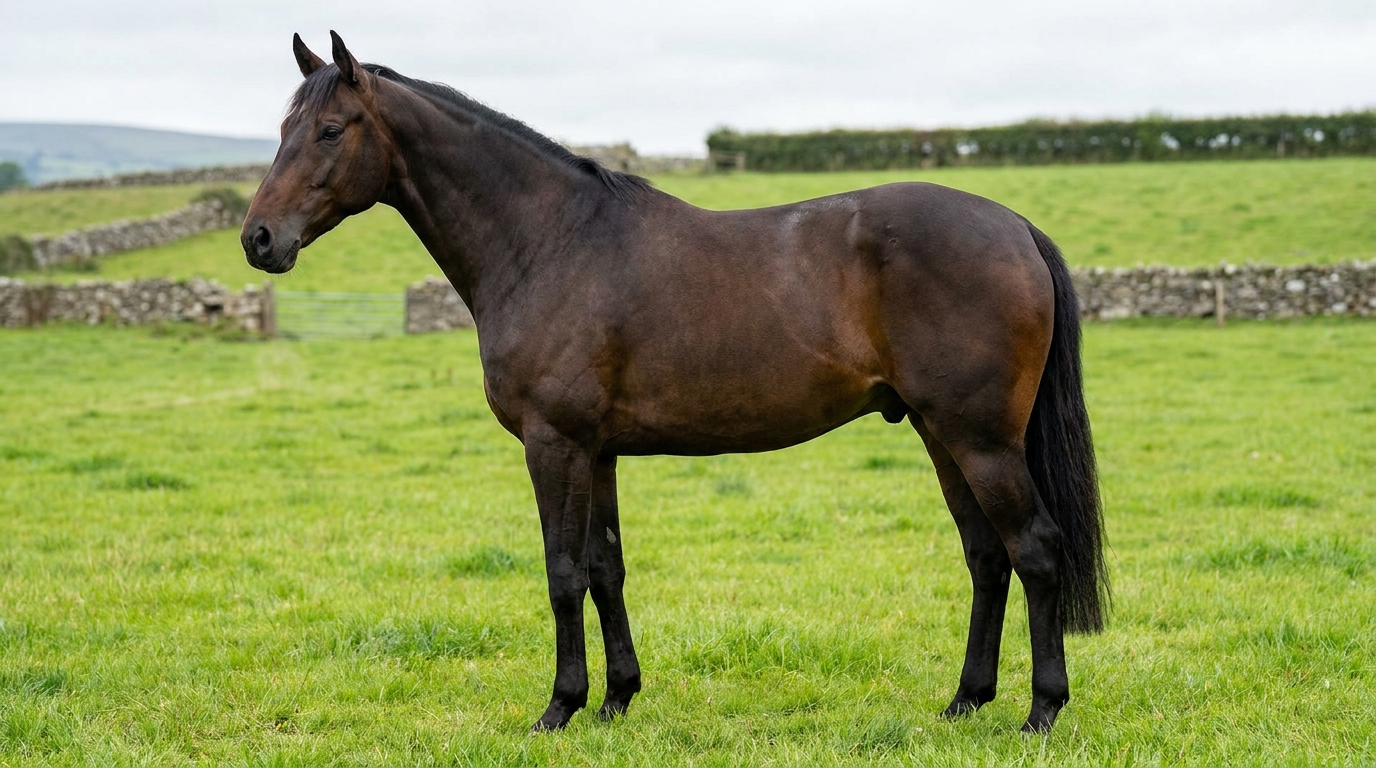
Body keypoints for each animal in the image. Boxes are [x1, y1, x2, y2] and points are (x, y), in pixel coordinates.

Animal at [242, 31, 1108, 734]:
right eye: (281, 130)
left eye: (329, 129)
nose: (259, 239)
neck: (550, 241)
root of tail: (1015, 227)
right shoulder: (596, 452)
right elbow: (605, 569)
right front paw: (616, 699)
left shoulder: (553, 445)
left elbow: (562, 574)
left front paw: (559, 707)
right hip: (940, 433)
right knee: (987, 557)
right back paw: (966, 700)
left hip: (980, 439)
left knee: (1034, 549)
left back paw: (1041, 710)